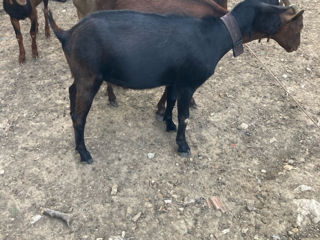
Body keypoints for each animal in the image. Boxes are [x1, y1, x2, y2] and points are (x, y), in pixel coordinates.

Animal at [47, 0, 302, 163]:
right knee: (80, 116)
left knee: (71, 93)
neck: (215, 36)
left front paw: (167, 124)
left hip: (82, 74)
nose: (296, 46)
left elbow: (169, 102)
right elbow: (185, 115)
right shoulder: (188, 83)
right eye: (295, 25)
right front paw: (183, 145)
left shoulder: (174, 79)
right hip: (89, 76)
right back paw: (84, 153)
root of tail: (67, 34)